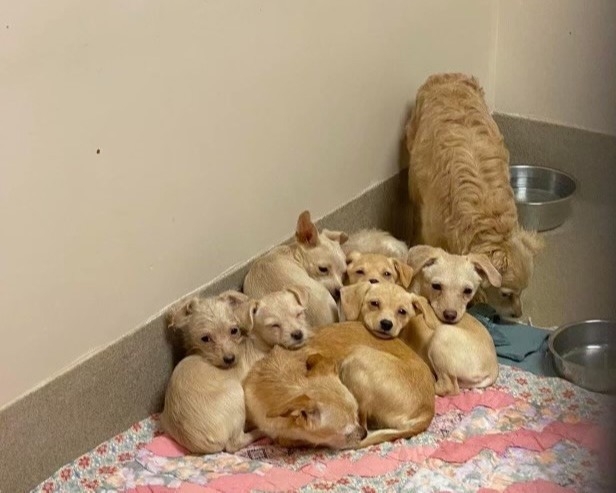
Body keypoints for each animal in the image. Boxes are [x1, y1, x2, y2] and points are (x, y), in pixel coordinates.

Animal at [160, 289, 311, 454]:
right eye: (274, 325)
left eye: (299, 314)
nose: (298, 334)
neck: (259, 343)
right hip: (237, 395)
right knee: (234, 443)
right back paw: (259, 431)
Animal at [405, 73, 544, 319]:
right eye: (506, 294)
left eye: (523, 291)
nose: (518, 315)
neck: (488, 216)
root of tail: (446, 76)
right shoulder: (433, 232)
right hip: (413, 179)